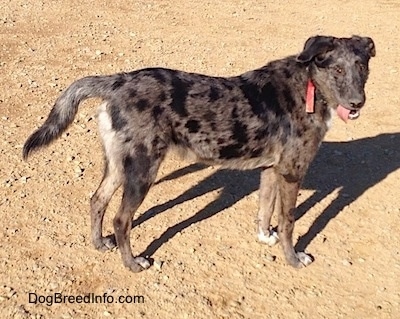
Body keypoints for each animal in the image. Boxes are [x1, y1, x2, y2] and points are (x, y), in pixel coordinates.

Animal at [23, 37, 376, 272]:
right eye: (337, 69)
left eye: (361, 66)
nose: (357, 103)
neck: (308, 84)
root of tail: (118, 81)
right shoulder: (292, 172)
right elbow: (288, 221)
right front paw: (293, 259)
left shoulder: (271, 170)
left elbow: (265, 211)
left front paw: (264, 237)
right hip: (143, 170)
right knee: (121, 219)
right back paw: (133, 263)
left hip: (119, 166)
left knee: (97, 200)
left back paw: (99, 244)